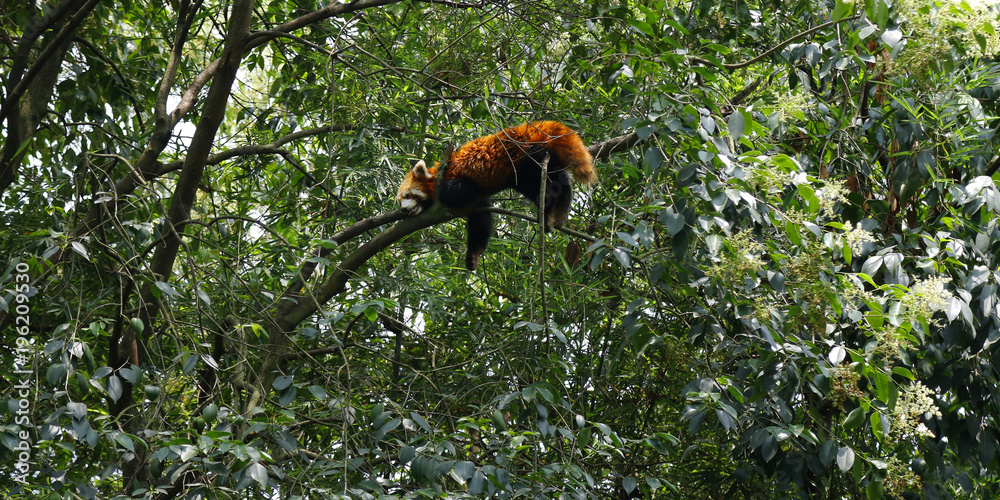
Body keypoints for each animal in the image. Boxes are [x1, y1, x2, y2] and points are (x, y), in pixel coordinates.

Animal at [394, 120, 592, 270]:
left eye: (408, 195)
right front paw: (473, 257)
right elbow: (481, 222)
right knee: (560, 181)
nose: (403, 210)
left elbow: (453, 193)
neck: (437, 174)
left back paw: (548, 212)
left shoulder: (456, 178)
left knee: (542, 188)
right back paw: (562, 207)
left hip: (528, 158)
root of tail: (534, 129)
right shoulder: (478, 203)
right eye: (400, 201)